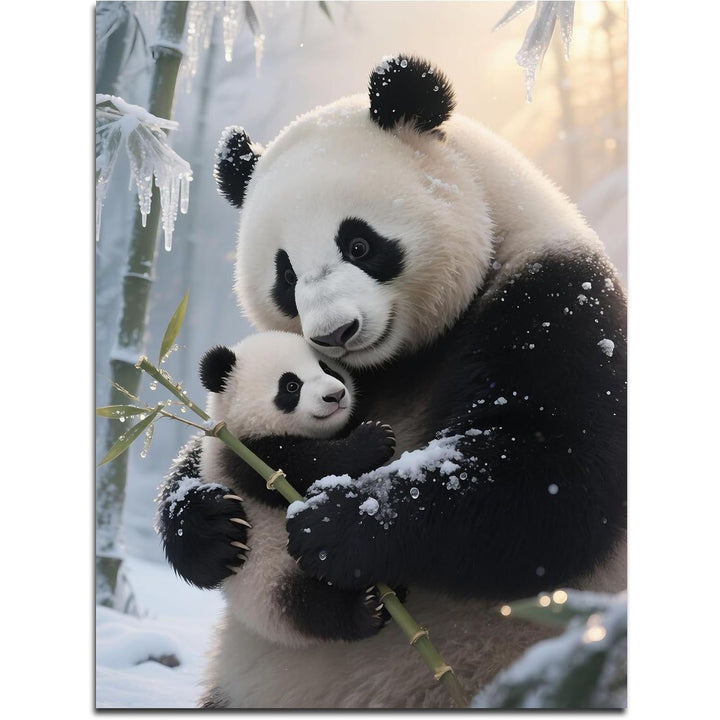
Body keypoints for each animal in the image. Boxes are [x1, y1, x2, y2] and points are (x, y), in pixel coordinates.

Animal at [156, 55, 627, 708]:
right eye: (286, 274)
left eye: (359, 243)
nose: (335, 332)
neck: (404, 356)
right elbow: (230, 438)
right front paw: (202, 525)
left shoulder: (554, 297)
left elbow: (559, 479)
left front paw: (338, 524)